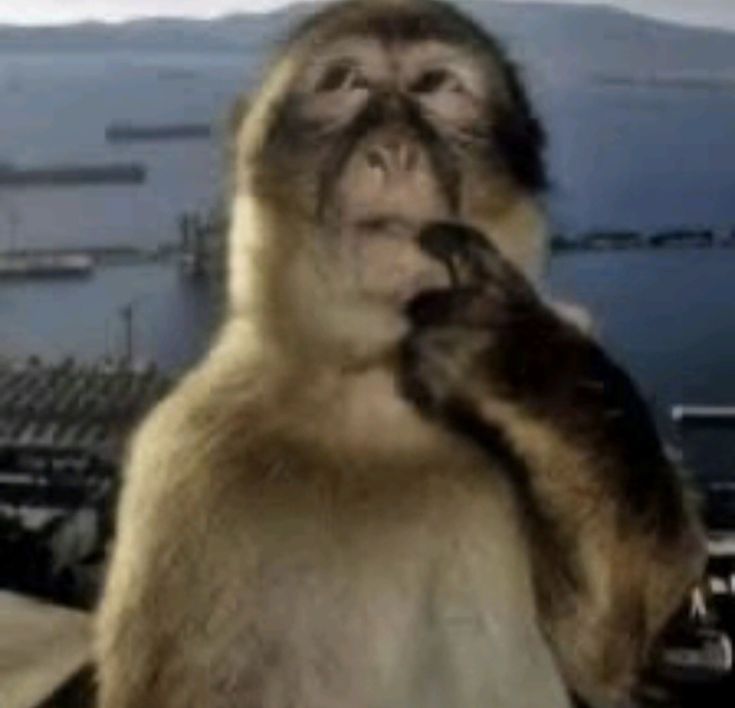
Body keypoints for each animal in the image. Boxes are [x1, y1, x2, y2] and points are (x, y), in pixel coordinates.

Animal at [95, 1, 706, 707]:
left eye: (438, 85)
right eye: (345, 81)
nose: (393, 151)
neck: (373, 391)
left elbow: (606, 647)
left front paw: (517, 362)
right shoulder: (184, 458)